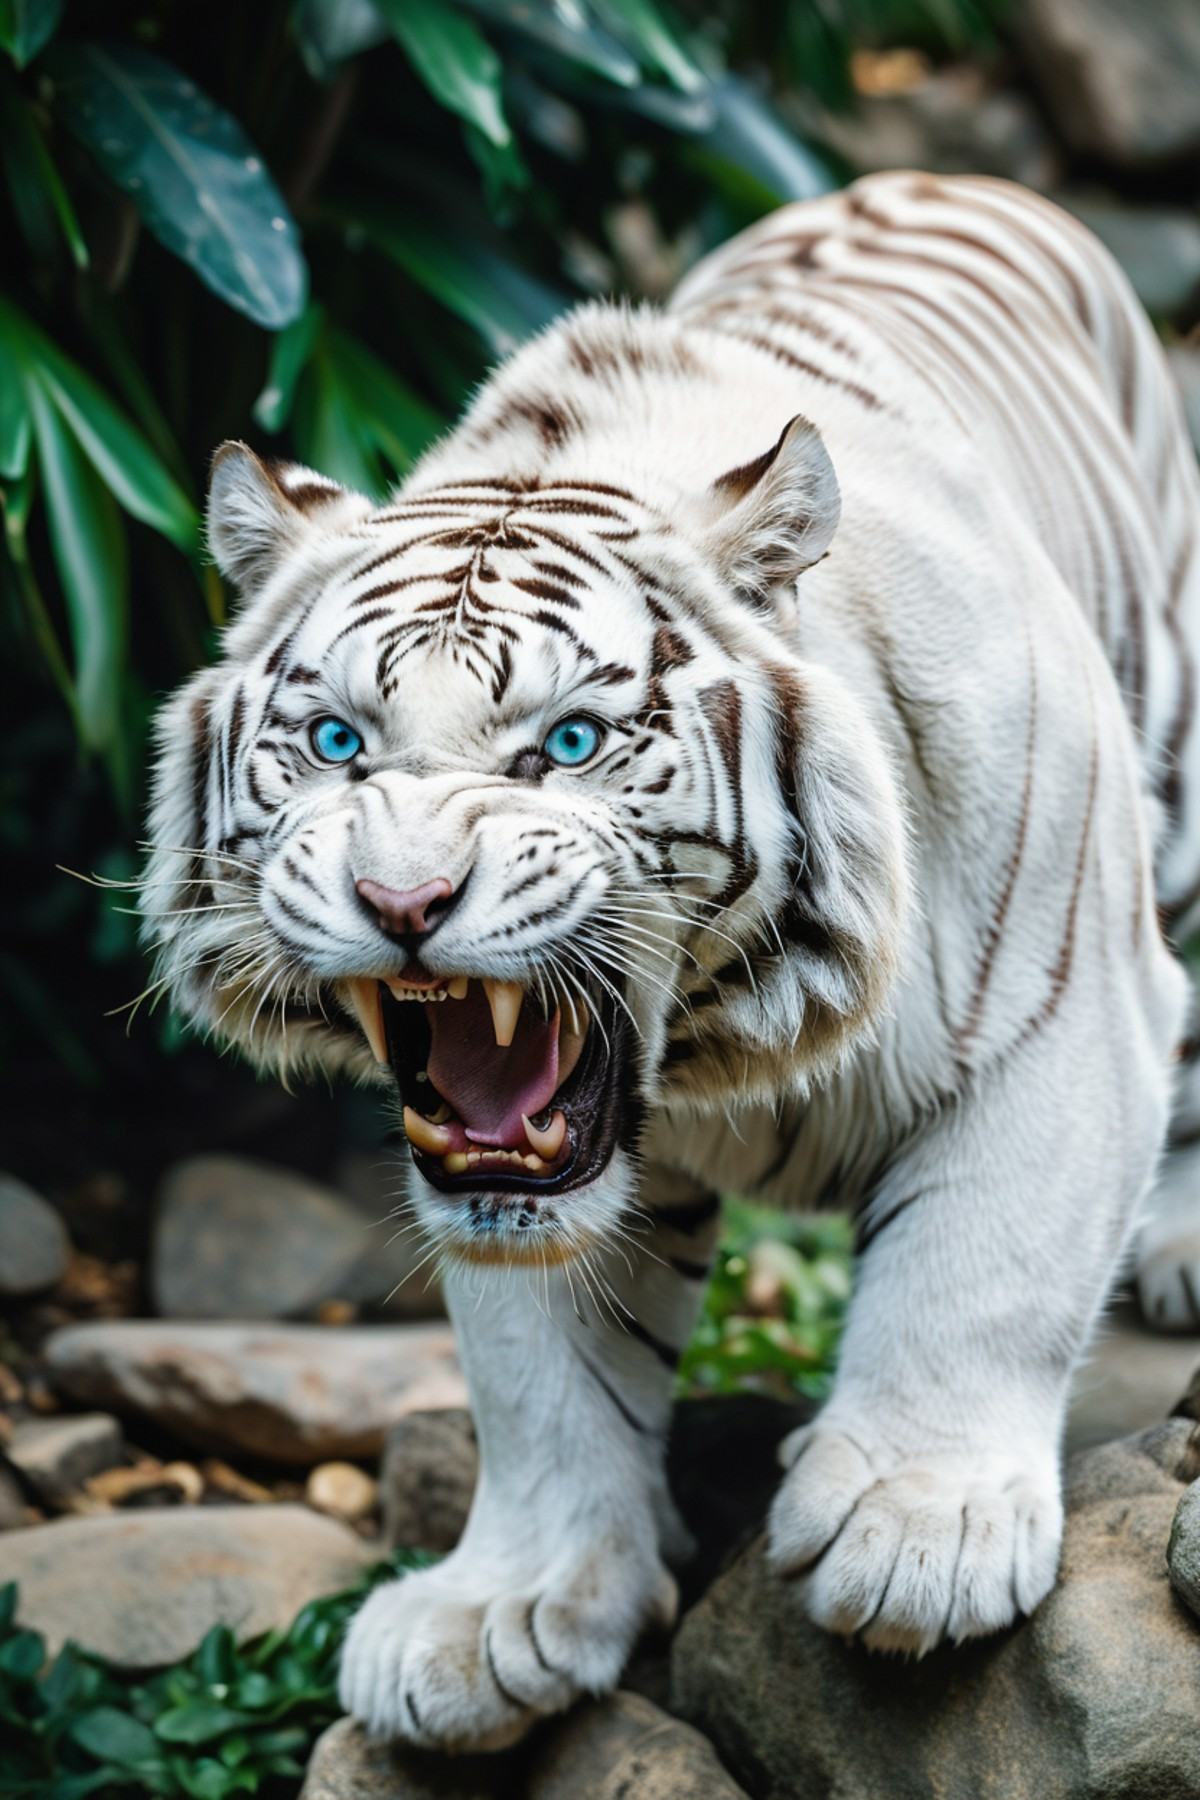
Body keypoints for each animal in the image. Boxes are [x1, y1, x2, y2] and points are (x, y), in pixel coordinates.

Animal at [140, 171, 1200, 1751]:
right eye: (336, 743)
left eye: (570, 742)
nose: (403, 899)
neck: (729, 1034)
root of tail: (936, 177)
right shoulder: (500, 1180)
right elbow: (537, 1372)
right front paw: (503, 1612)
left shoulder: (1067, 1008)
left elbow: (986, 1262)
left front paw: (917, 1535)